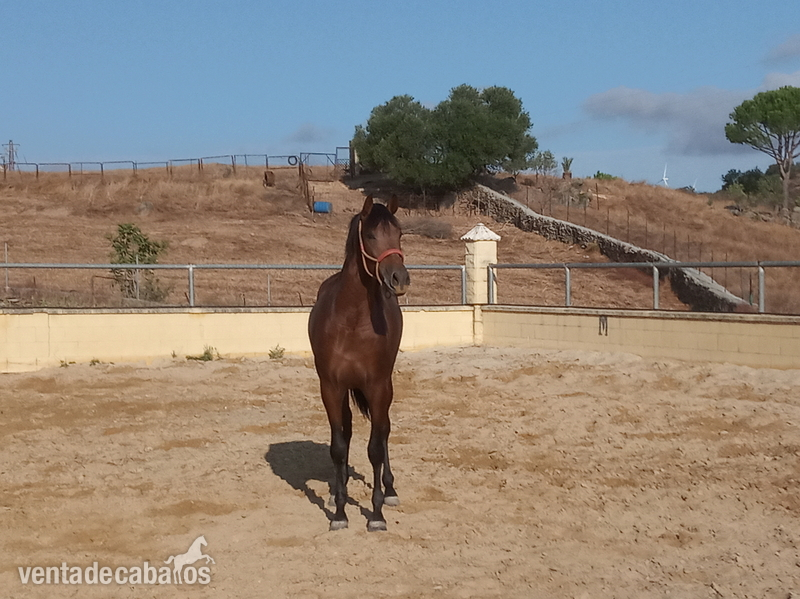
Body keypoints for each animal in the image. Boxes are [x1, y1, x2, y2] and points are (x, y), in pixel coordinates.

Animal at [308, 195, 410, 531]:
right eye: (371, 235)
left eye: (399, 234)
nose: (399, 279)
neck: (352, 320)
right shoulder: (331, 387)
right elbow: (338, 446)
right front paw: (340, 511)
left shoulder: (377, 386)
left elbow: (376, 447)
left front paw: (376, 514)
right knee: (347, 432)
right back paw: (335, 492)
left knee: (384, 430)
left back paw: (390, 490)